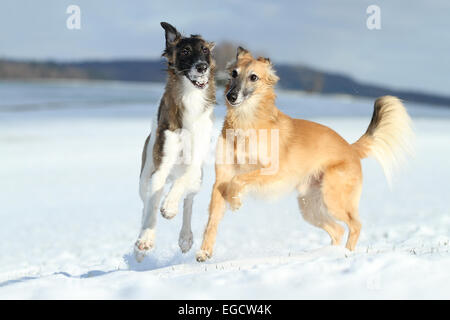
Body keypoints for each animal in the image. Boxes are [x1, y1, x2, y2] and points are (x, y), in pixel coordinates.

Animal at [134, 22, 215, 262]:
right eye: (186, 51)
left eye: (205, 50)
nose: (202, 67)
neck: (190, 97)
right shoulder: (160, 167)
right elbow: (151, 208)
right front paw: (145, 240)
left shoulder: (195, 163)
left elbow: (182, 183)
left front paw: (169, 206)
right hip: (145, 178)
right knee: (146, 204)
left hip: (198, 181)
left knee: (188, 201)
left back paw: (185, 237)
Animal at [195, 47, 414, 262]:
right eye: (234, 73)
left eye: (253, 77)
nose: (230, 96)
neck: (247, 122)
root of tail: (351, 148)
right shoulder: (221, 179)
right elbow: (212, 219)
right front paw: (204, 252)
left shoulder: (274, 171)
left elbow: (240, 180)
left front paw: (235, 201)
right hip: (309, 207)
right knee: (338, 230)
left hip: (333, 199)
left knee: (355, 225)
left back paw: (347, 254)